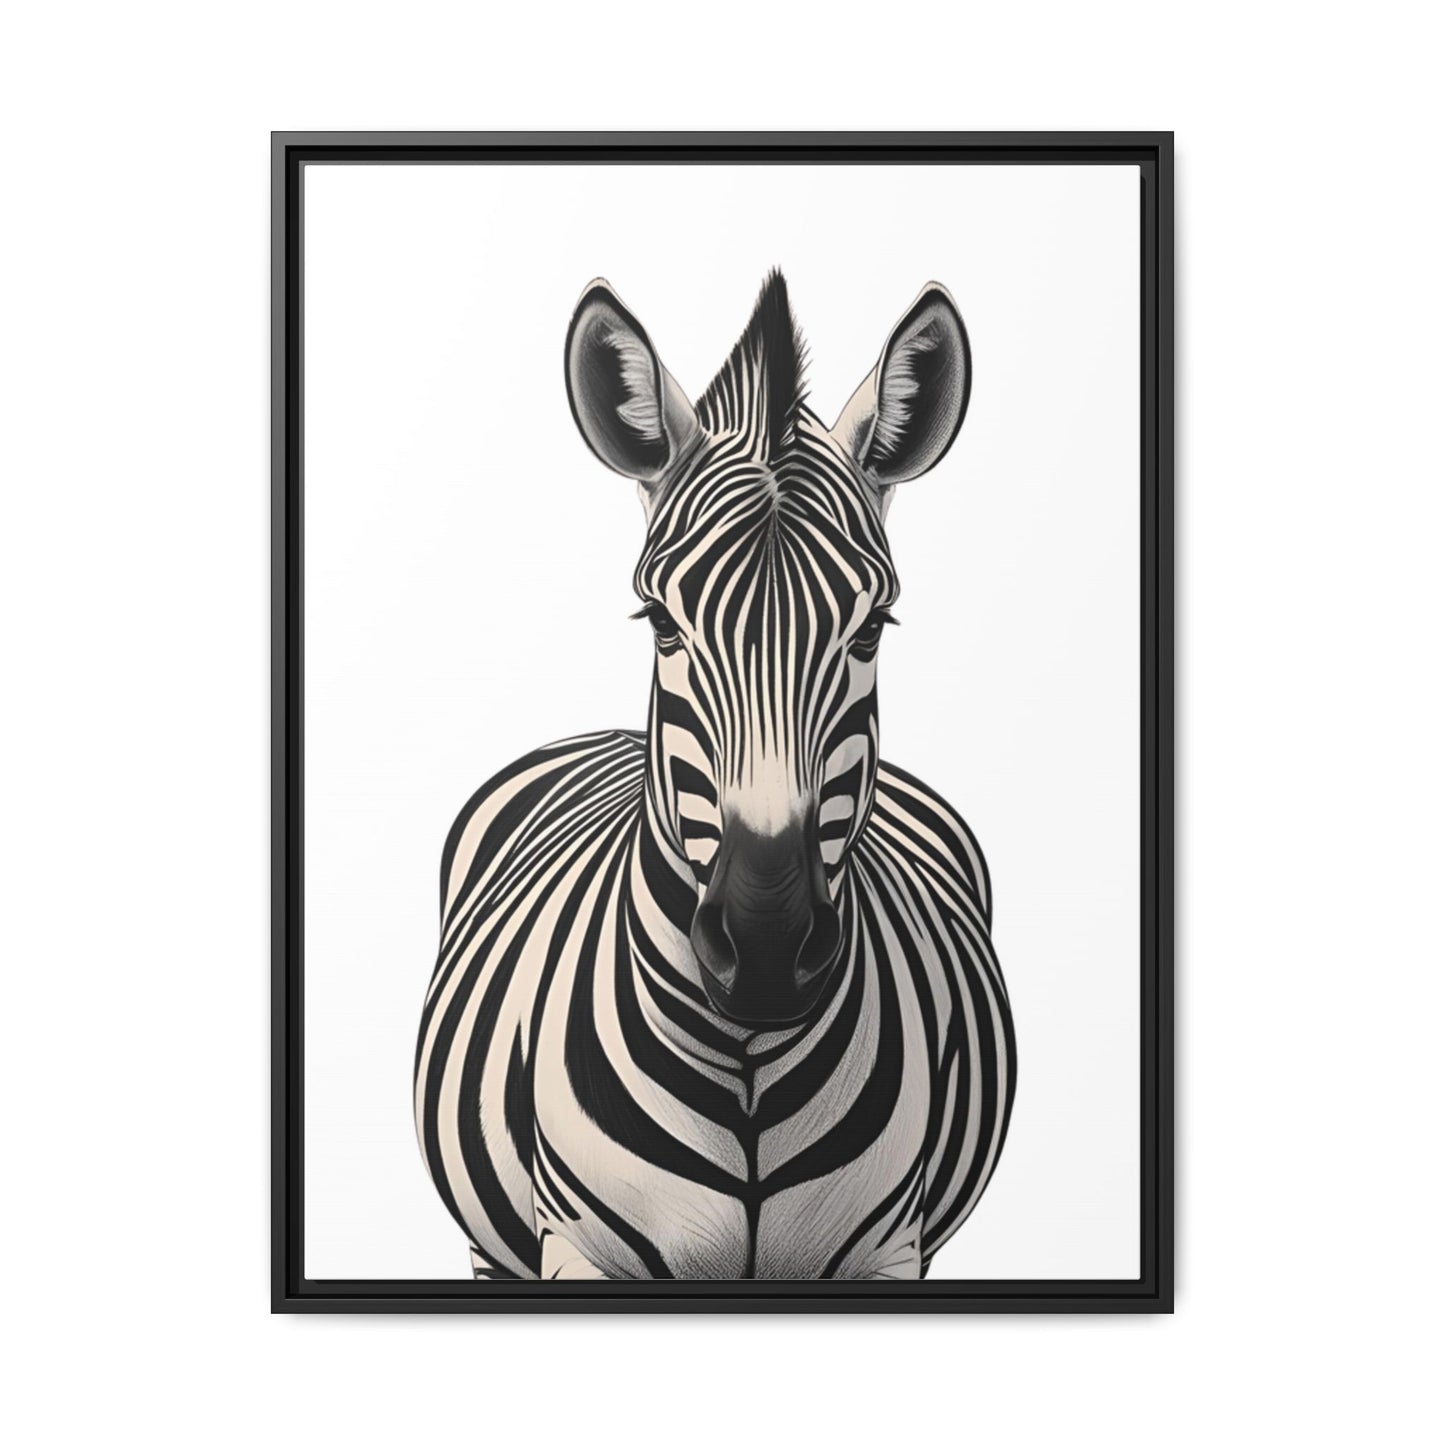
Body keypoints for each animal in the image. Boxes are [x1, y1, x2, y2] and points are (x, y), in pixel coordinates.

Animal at [414, 271, 1015, 1280]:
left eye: (870, 630)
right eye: (661, 621)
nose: (767, 948)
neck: (747, 1065)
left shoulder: (892, 1249)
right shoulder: (573, 1247)